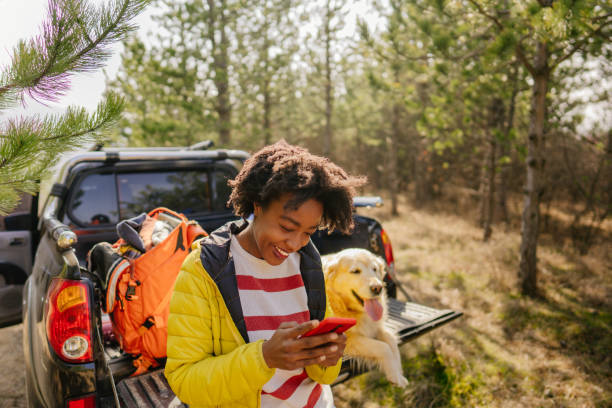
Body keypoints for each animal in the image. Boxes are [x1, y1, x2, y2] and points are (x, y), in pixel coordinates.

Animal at [322, 249, 408, 386]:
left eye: (374, 269)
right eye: (355, 271)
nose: (378, 288)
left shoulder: (375, 327)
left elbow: (392, 342)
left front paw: (398, 373)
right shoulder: (348, 339)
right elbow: (384, 347)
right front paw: (394, 376)